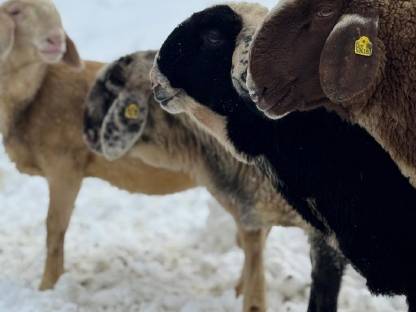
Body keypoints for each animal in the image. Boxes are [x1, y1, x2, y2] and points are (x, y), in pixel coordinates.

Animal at [0, 0, 198, 292]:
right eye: (15, 12)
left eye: (56, 15)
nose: (56, 40)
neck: (33, 94)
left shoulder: (64, 166)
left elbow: (54, 228)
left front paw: (48, 285)